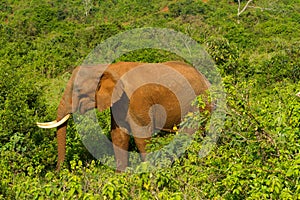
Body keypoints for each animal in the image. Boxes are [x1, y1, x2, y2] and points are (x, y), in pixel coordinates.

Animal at [37, 61, 211, 172]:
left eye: (78, 90)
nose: (57, 173)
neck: (106, 68)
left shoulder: (137, 101)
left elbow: (142, 136)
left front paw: (148, 172)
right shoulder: (118, 103)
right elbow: (118, 136)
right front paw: (120, 176)